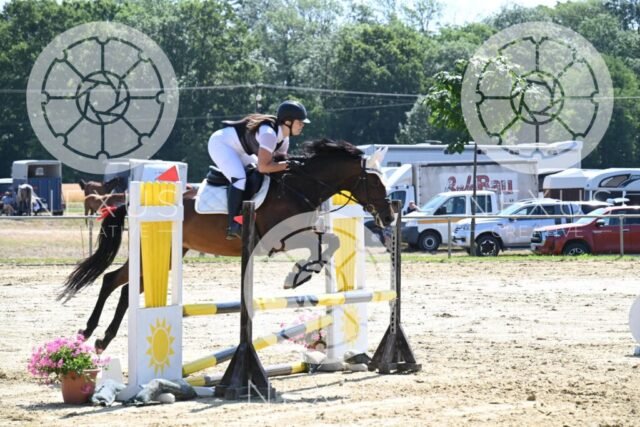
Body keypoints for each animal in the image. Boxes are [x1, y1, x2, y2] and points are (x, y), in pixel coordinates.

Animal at [59, 139, 394, 352]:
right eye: (375, 182)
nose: (389, 215)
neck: (299, 186)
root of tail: (132, 200)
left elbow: (330, 242)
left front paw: (301, 274)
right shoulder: (283, 237)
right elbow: (327, 243)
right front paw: (297, 276)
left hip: (169, 254)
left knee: (122, 286)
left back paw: (99, 338)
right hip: (156, 252)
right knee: (114, 282)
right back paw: (91, 334)